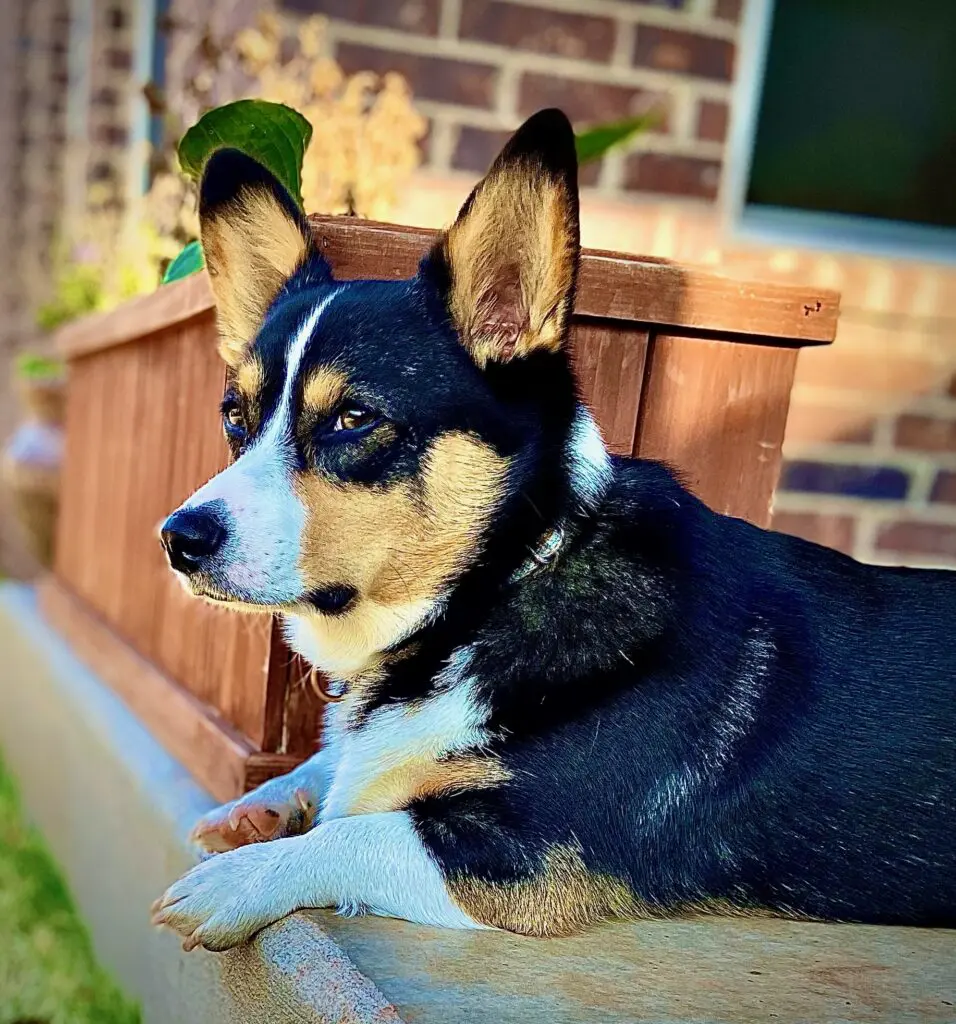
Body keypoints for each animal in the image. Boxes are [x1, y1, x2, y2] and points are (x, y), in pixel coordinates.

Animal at [151, 108, 956, 946]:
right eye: (235, 416)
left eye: (353, 418)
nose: (179, 539)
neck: (496, 589)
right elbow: (326, 770)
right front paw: (260, 805)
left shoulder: (539, 850)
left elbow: (356, 832)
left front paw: (238, 877)